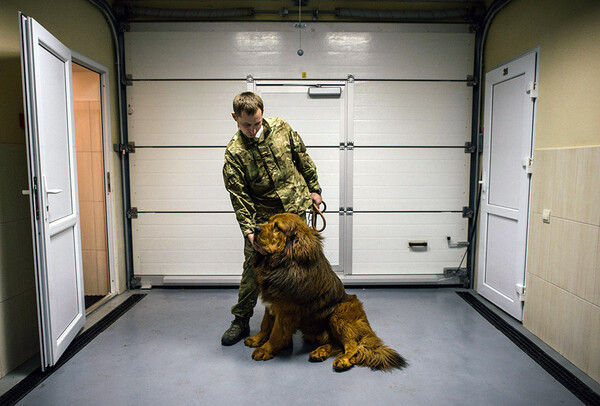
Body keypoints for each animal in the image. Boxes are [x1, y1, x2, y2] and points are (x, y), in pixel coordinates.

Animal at [245, 214, 408, 372]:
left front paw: (265, 350)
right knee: (338, 344)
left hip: (338, 315)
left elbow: (275, 333)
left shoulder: (286, 312)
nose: (255, 229)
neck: (283, 263)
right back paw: (320, 352)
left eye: (277, 227)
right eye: (268, 221)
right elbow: (265, 325)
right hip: (314, 332)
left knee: (353, 346)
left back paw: (343, 361)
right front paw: (257, 339)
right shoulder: (271, 305)